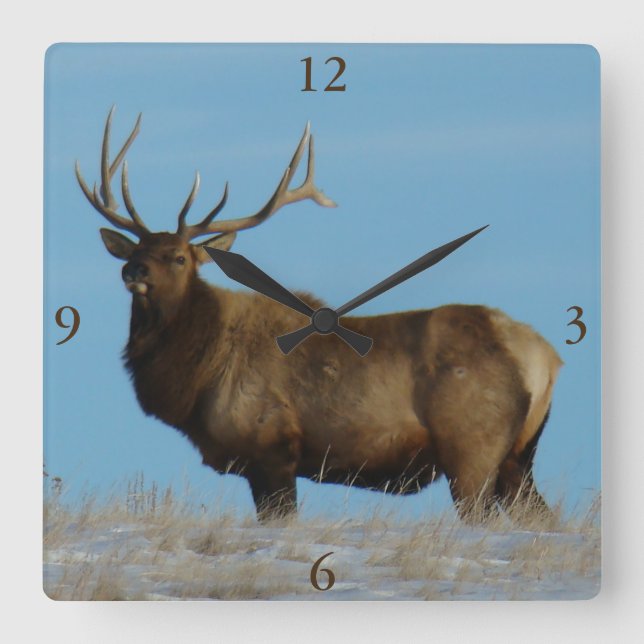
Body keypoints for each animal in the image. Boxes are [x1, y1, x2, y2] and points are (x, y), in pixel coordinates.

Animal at [76, 107, 562, 524]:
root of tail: (547, 358)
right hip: (518, 455)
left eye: (178, 257)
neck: (197, 380)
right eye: (136, 250)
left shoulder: (271, 447)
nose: (133, 271)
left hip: (472, 446)